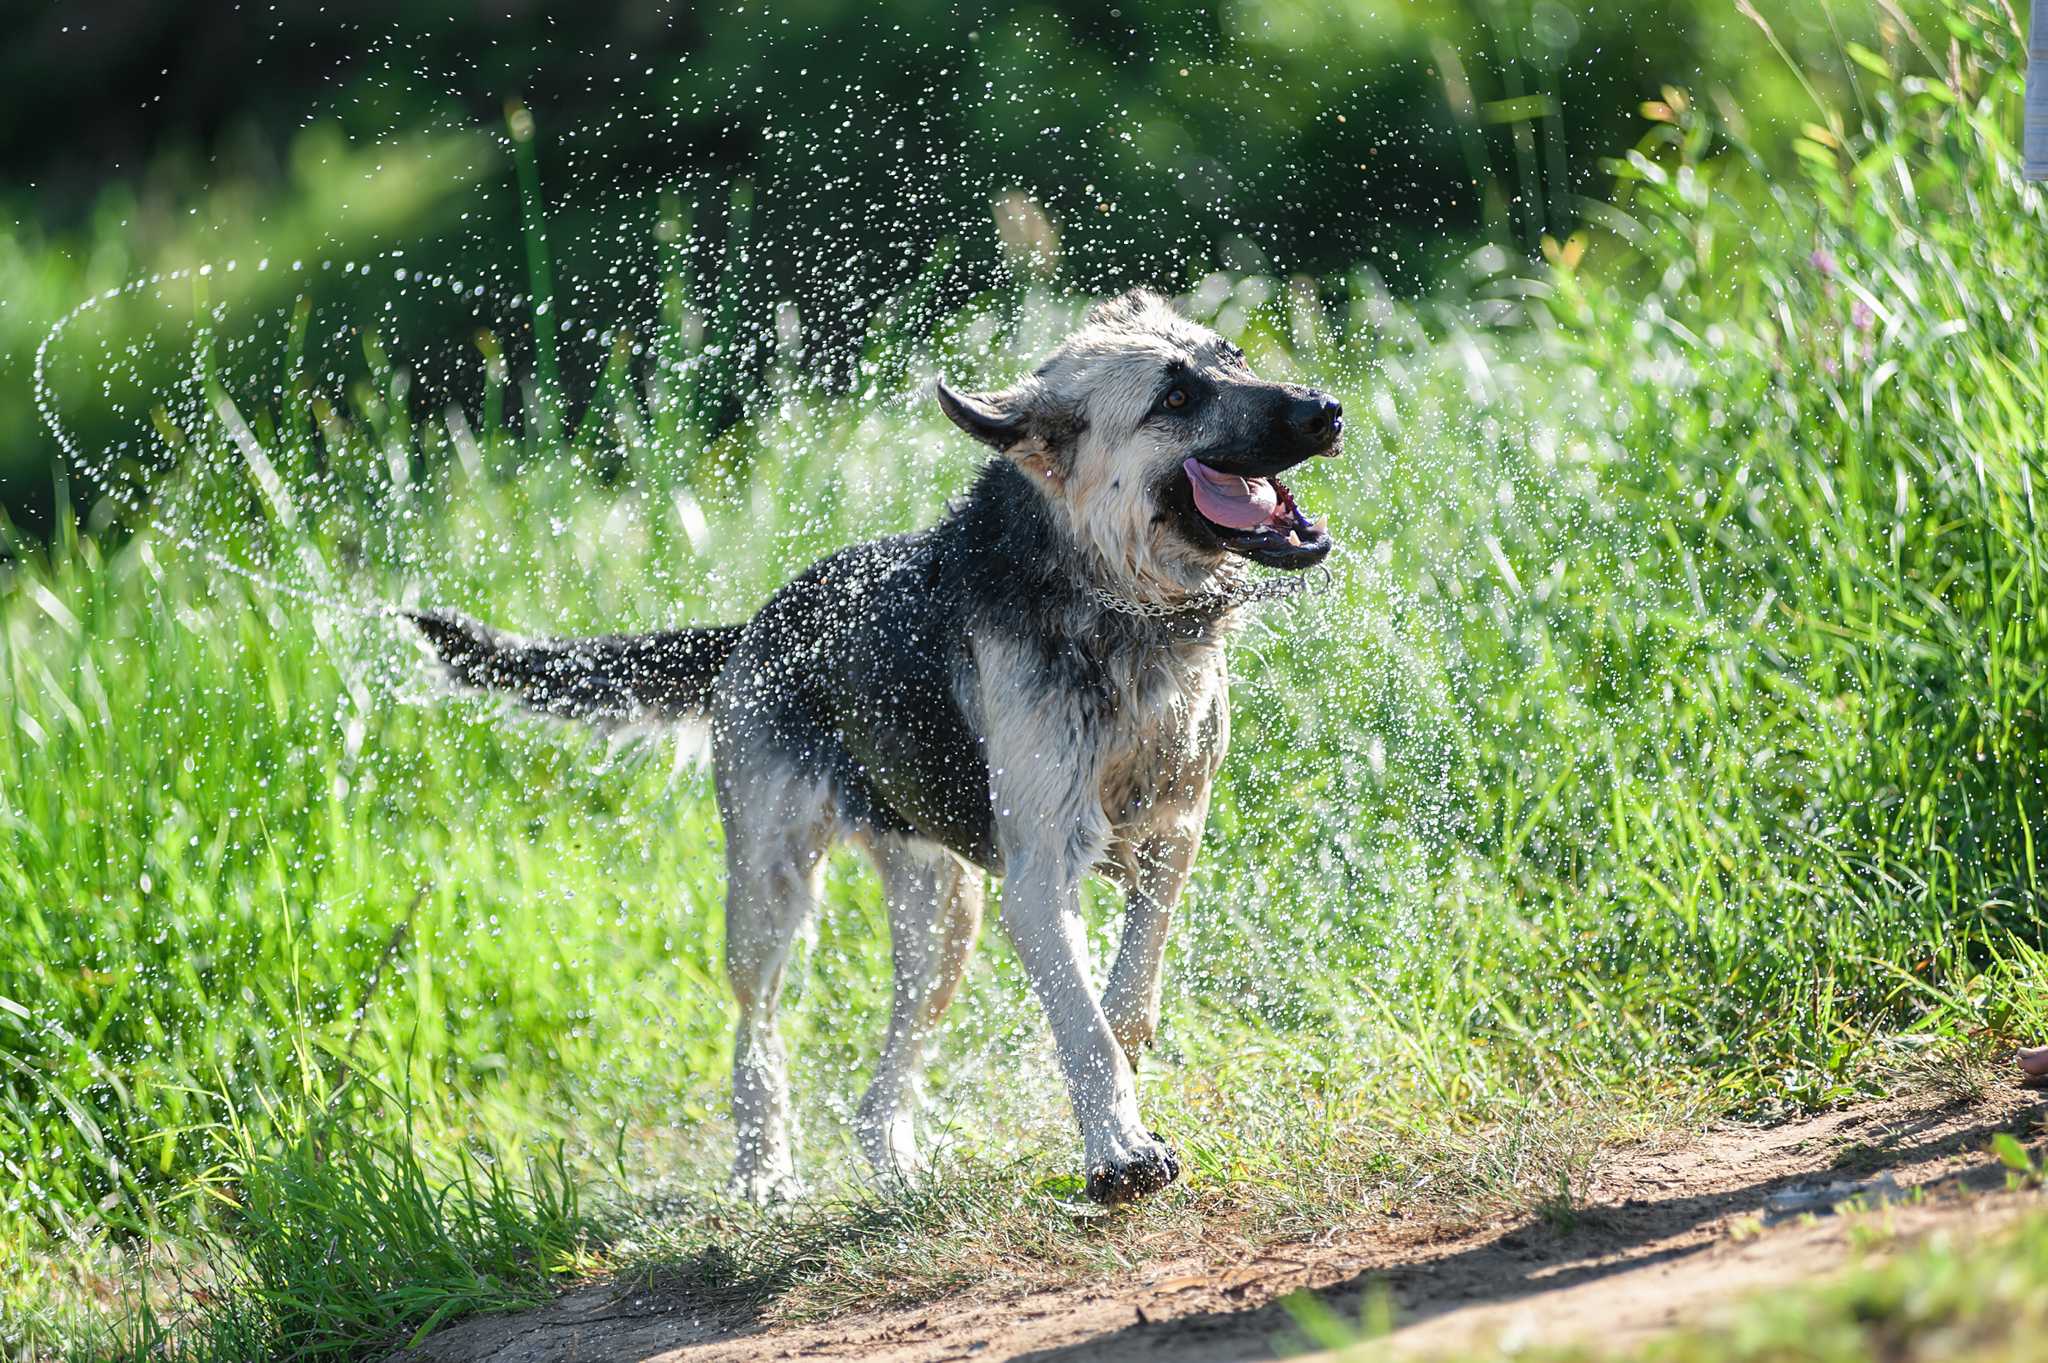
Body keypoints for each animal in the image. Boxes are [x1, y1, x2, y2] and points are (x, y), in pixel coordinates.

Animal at [409, 288, 1343, 1203]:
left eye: (1235, 356)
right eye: (1175, 398)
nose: (1326, 411)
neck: (1105, 594)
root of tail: (755, 625)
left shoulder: (1172, 832)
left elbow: (1126, 983)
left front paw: (1127, 1058)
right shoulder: (1041, 880)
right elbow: (1082, 1028)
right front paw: (1119, 1148)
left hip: (944, 919)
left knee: (878, 1086)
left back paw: (896, 1167)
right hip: (771, 893)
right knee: (756, 1027)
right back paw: (763, 1167)